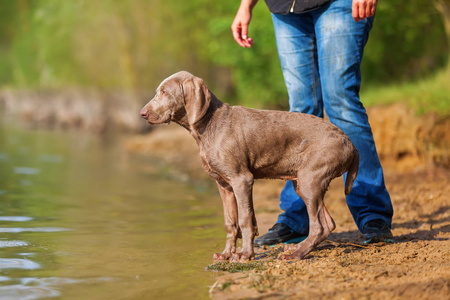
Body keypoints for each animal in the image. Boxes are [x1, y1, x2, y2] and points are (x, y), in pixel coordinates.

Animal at [141, 71, 358, 262]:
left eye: (165, 92)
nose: (142, 113)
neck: (209, 125)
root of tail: (349, 142)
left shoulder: (242, 179)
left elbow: (245, 219)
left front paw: (245, 255)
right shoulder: (224, 184)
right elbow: (230, 222)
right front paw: (226, 254)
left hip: (310, 180)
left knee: (319, 226)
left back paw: (295, 254)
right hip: (304, 182)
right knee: (328, 224)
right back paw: (296, 247)